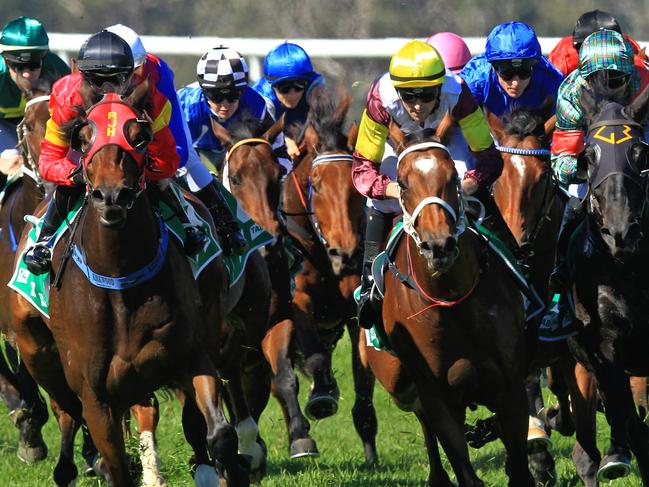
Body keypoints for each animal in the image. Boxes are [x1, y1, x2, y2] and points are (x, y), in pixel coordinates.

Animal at [10, 88, 248, 487]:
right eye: (82, 137)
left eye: (140, 136)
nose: (112, 196)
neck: (120, 281)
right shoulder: (96, 398)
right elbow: (115, 461)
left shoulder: (191, 353)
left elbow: (220, 433)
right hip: (36, 351)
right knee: (65, 409)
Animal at [280, 88, 378, 466]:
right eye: (317, 186)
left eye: (356, 188)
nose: (346, 253)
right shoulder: (297, 299)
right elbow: (315, 356)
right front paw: (321, 394)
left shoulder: (356, 309)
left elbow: (364, 376)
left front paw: (369, 447)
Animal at [360, 127, 532, 486]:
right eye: (403, 183)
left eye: (452, 176)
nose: (438, 246)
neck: (453, 300)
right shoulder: (438, 397)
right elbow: (464, 469)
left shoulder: (510, 386)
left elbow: (520, 468)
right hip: (397, 382)